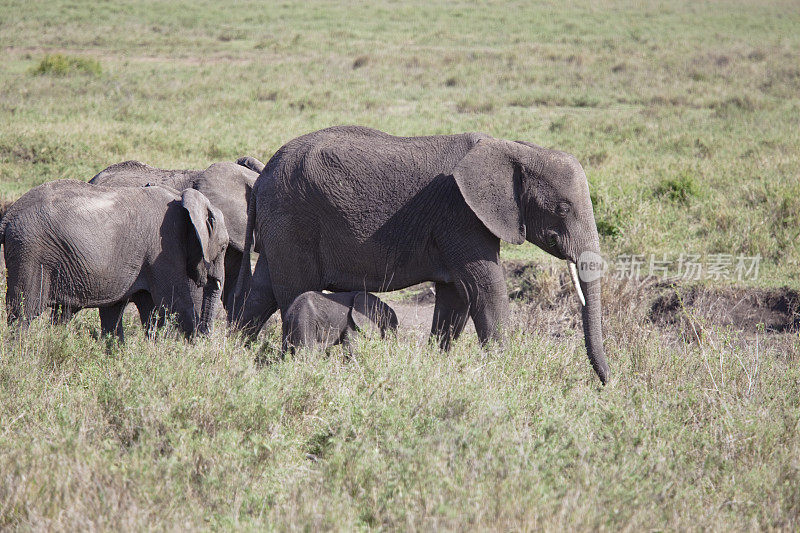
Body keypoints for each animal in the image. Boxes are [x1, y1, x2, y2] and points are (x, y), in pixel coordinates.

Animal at [0, 178, 231, 336]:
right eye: (223, 247)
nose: (205, 336)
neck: (183, 197)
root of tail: (8, 216)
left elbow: (127, 313)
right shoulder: (164, 249)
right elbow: (176, 305)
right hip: (30, 252)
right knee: (23, 313)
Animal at [234, 124, 608, 382]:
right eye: (563, 208)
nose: (604, 382)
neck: (514, 148)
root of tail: (262, 175)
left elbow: (456, 296)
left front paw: (437, 364)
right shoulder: (460, 214)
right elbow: (485, 288)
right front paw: (503, 371)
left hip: (281, 224)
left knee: (262, 292)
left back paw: (236, 354)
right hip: (293, 219)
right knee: (292, 289)